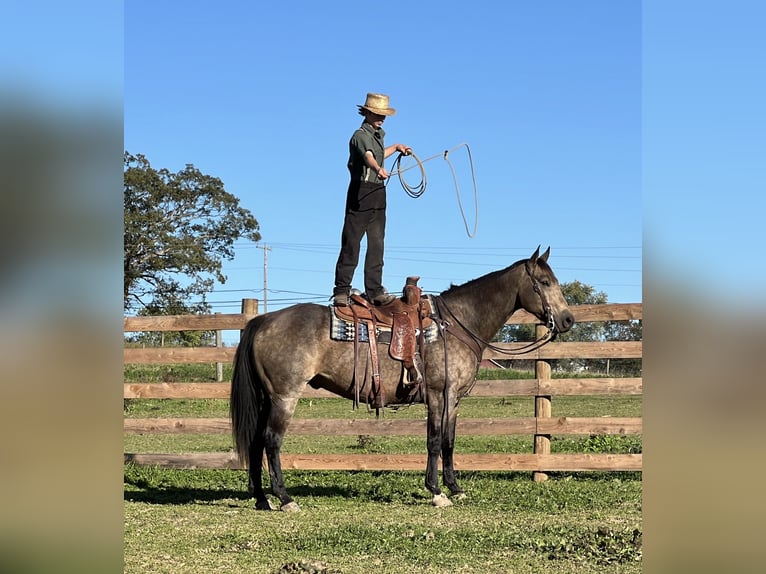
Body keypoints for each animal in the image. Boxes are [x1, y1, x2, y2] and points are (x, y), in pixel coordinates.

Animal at [231, 245, 572, 510]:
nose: (568, 319)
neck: (456, 324)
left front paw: (455, 488)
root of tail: (263, 320)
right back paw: (285, 498)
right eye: (544, 282)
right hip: (284, 397)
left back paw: (262, 499)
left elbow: (449, 442)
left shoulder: (454, 400)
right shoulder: (438, 394)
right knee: (272, 441)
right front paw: (436, 492)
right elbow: (434, 440)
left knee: (257, 442)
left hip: (266, 398)